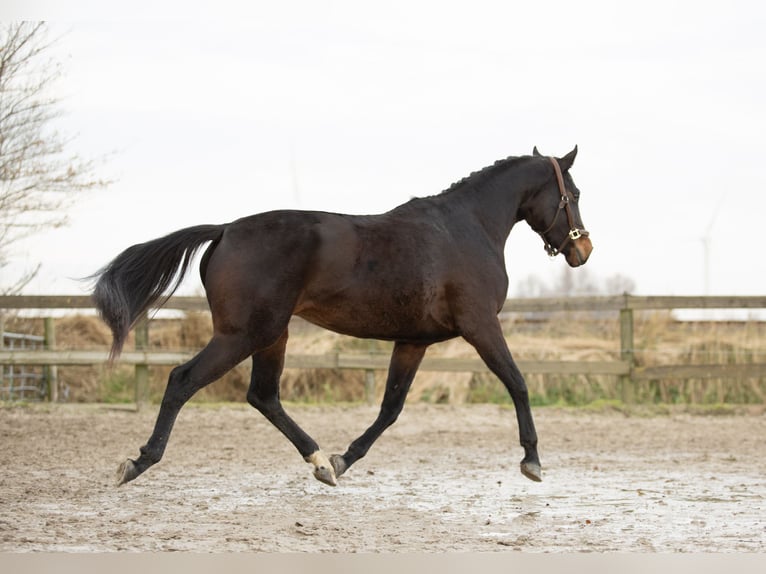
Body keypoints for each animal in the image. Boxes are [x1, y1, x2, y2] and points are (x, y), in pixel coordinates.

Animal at [91, 146, 592, 488]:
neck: (466, 229)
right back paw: (137, 462)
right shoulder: (481, 325)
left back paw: (319, 462)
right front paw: (532, 461)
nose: (583, 250)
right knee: (183, 380)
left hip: (271, 335)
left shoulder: (413, 341)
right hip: (242, 334)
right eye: (574, 193)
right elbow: (518, 382)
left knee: (263, 395)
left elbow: (391, 408)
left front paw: (343, 460)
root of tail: (226, 230)